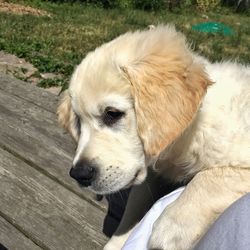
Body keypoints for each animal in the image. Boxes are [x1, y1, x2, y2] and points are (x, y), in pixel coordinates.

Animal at [57, 25, 250, 250]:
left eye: (112, 113)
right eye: (78, 122)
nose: (79, 175)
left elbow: (210, 177)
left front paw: (171, 230)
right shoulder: (151, 175)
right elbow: (133, 210)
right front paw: (119, 241)